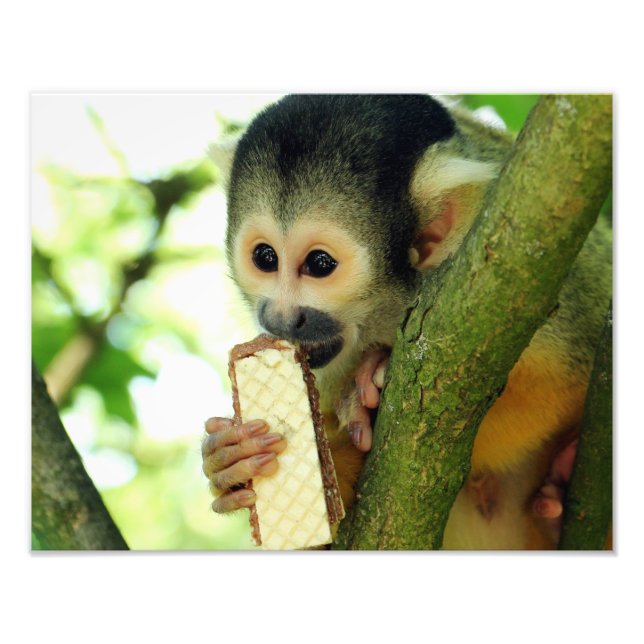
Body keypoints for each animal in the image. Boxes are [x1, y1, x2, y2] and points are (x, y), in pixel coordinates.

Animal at [201, 94, 612, 549]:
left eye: (319, 264)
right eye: (265, 257)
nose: (280, 318)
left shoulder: (535, 280)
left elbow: (550, 387)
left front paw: (370, 381)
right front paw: (230, 461)